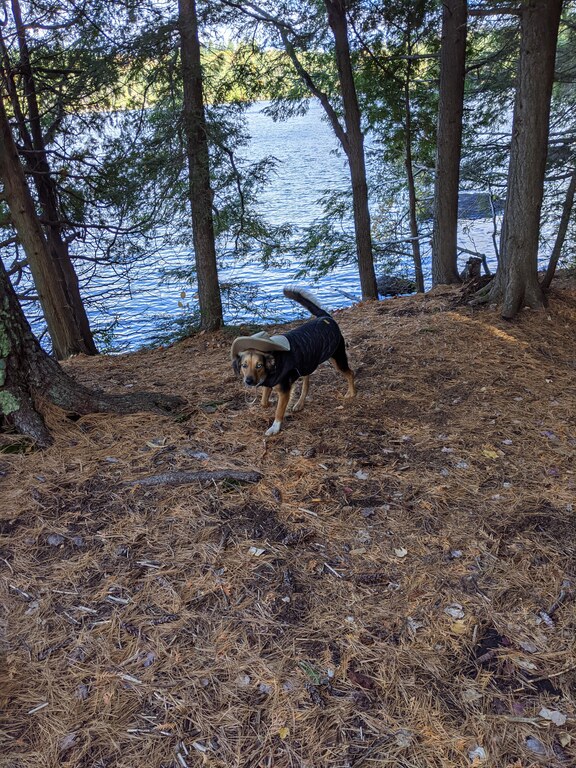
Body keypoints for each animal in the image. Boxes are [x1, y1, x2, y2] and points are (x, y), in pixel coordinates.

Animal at [230, 284, 356, 436]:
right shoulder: (269, 384)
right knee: (307, 383)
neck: (273, 364)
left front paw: (275, 427)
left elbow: (279, 411)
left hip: (337, 358)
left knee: (350, 373)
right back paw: (300, 403)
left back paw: (351, 393)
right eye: (244, 365)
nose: (248, 381)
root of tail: (325, 316)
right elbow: (263, 402)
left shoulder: (285, 390)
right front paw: (270, 403)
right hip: (307, 362)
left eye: (259, 365)